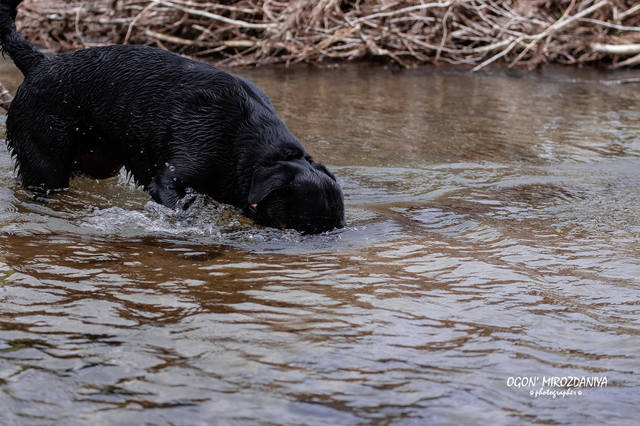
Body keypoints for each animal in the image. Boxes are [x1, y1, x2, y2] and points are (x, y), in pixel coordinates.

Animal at [0, 0, 344, 233]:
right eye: (295, 227)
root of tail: (41, 63)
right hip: (45, 163)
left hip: (97, 164)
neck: (243, 140)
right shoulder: (170, 179)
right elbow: (179, 208)